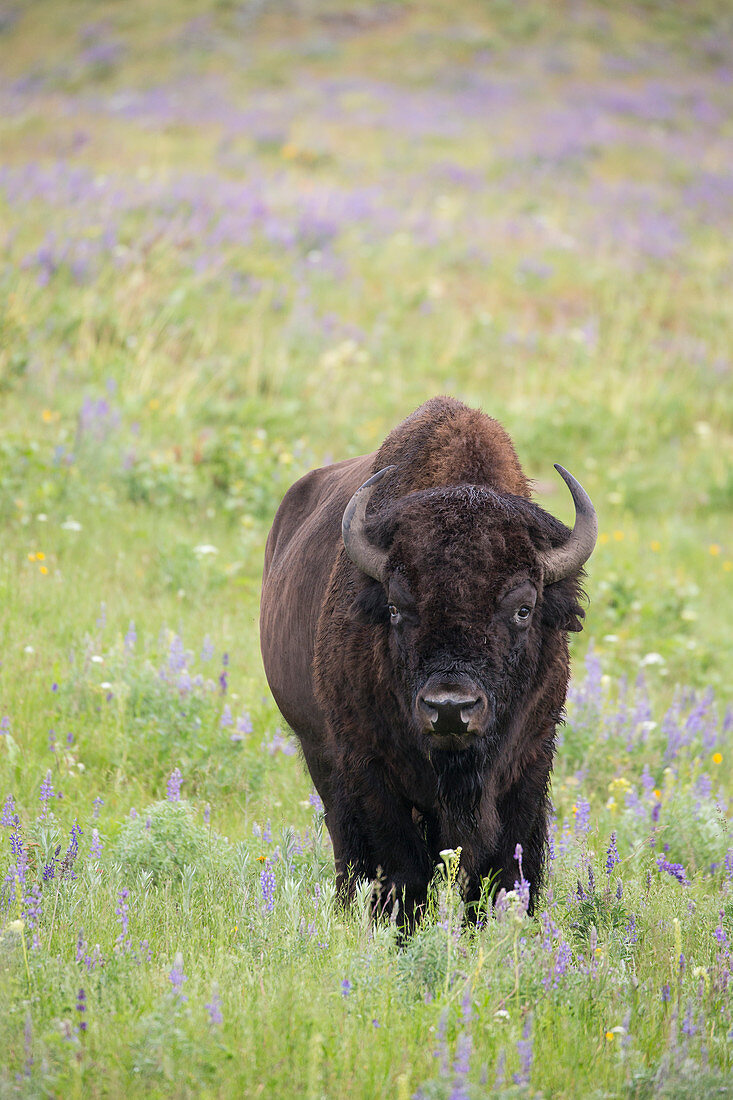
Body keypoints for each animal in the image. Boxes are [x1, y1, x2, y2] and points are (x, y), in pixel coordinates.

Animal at [256, 396, 594, 919]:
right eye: (396, 607)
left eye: (524, 608)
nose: (450, 710)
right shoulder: (368, 766)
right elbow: (401, 870)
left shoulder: (530, 763)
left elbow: (506, 869)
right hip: (318, 753)